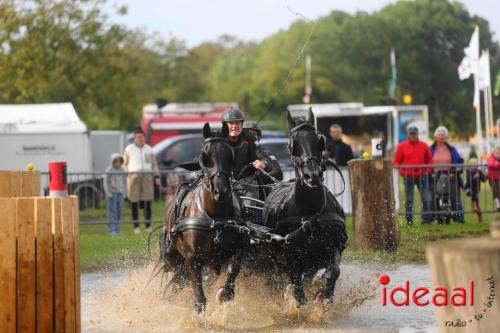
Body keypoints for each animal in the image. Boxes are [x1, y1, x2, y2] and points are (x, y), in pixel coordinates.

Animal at [262, 108, 348, 304]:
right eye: (293, 145)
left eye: (320, 141)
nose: (312, 175)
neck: (309, 215)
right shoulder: (291, 258)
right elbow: (297, 288)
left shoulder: (333, 248)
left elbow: (333, 272)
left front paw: (326, 298)